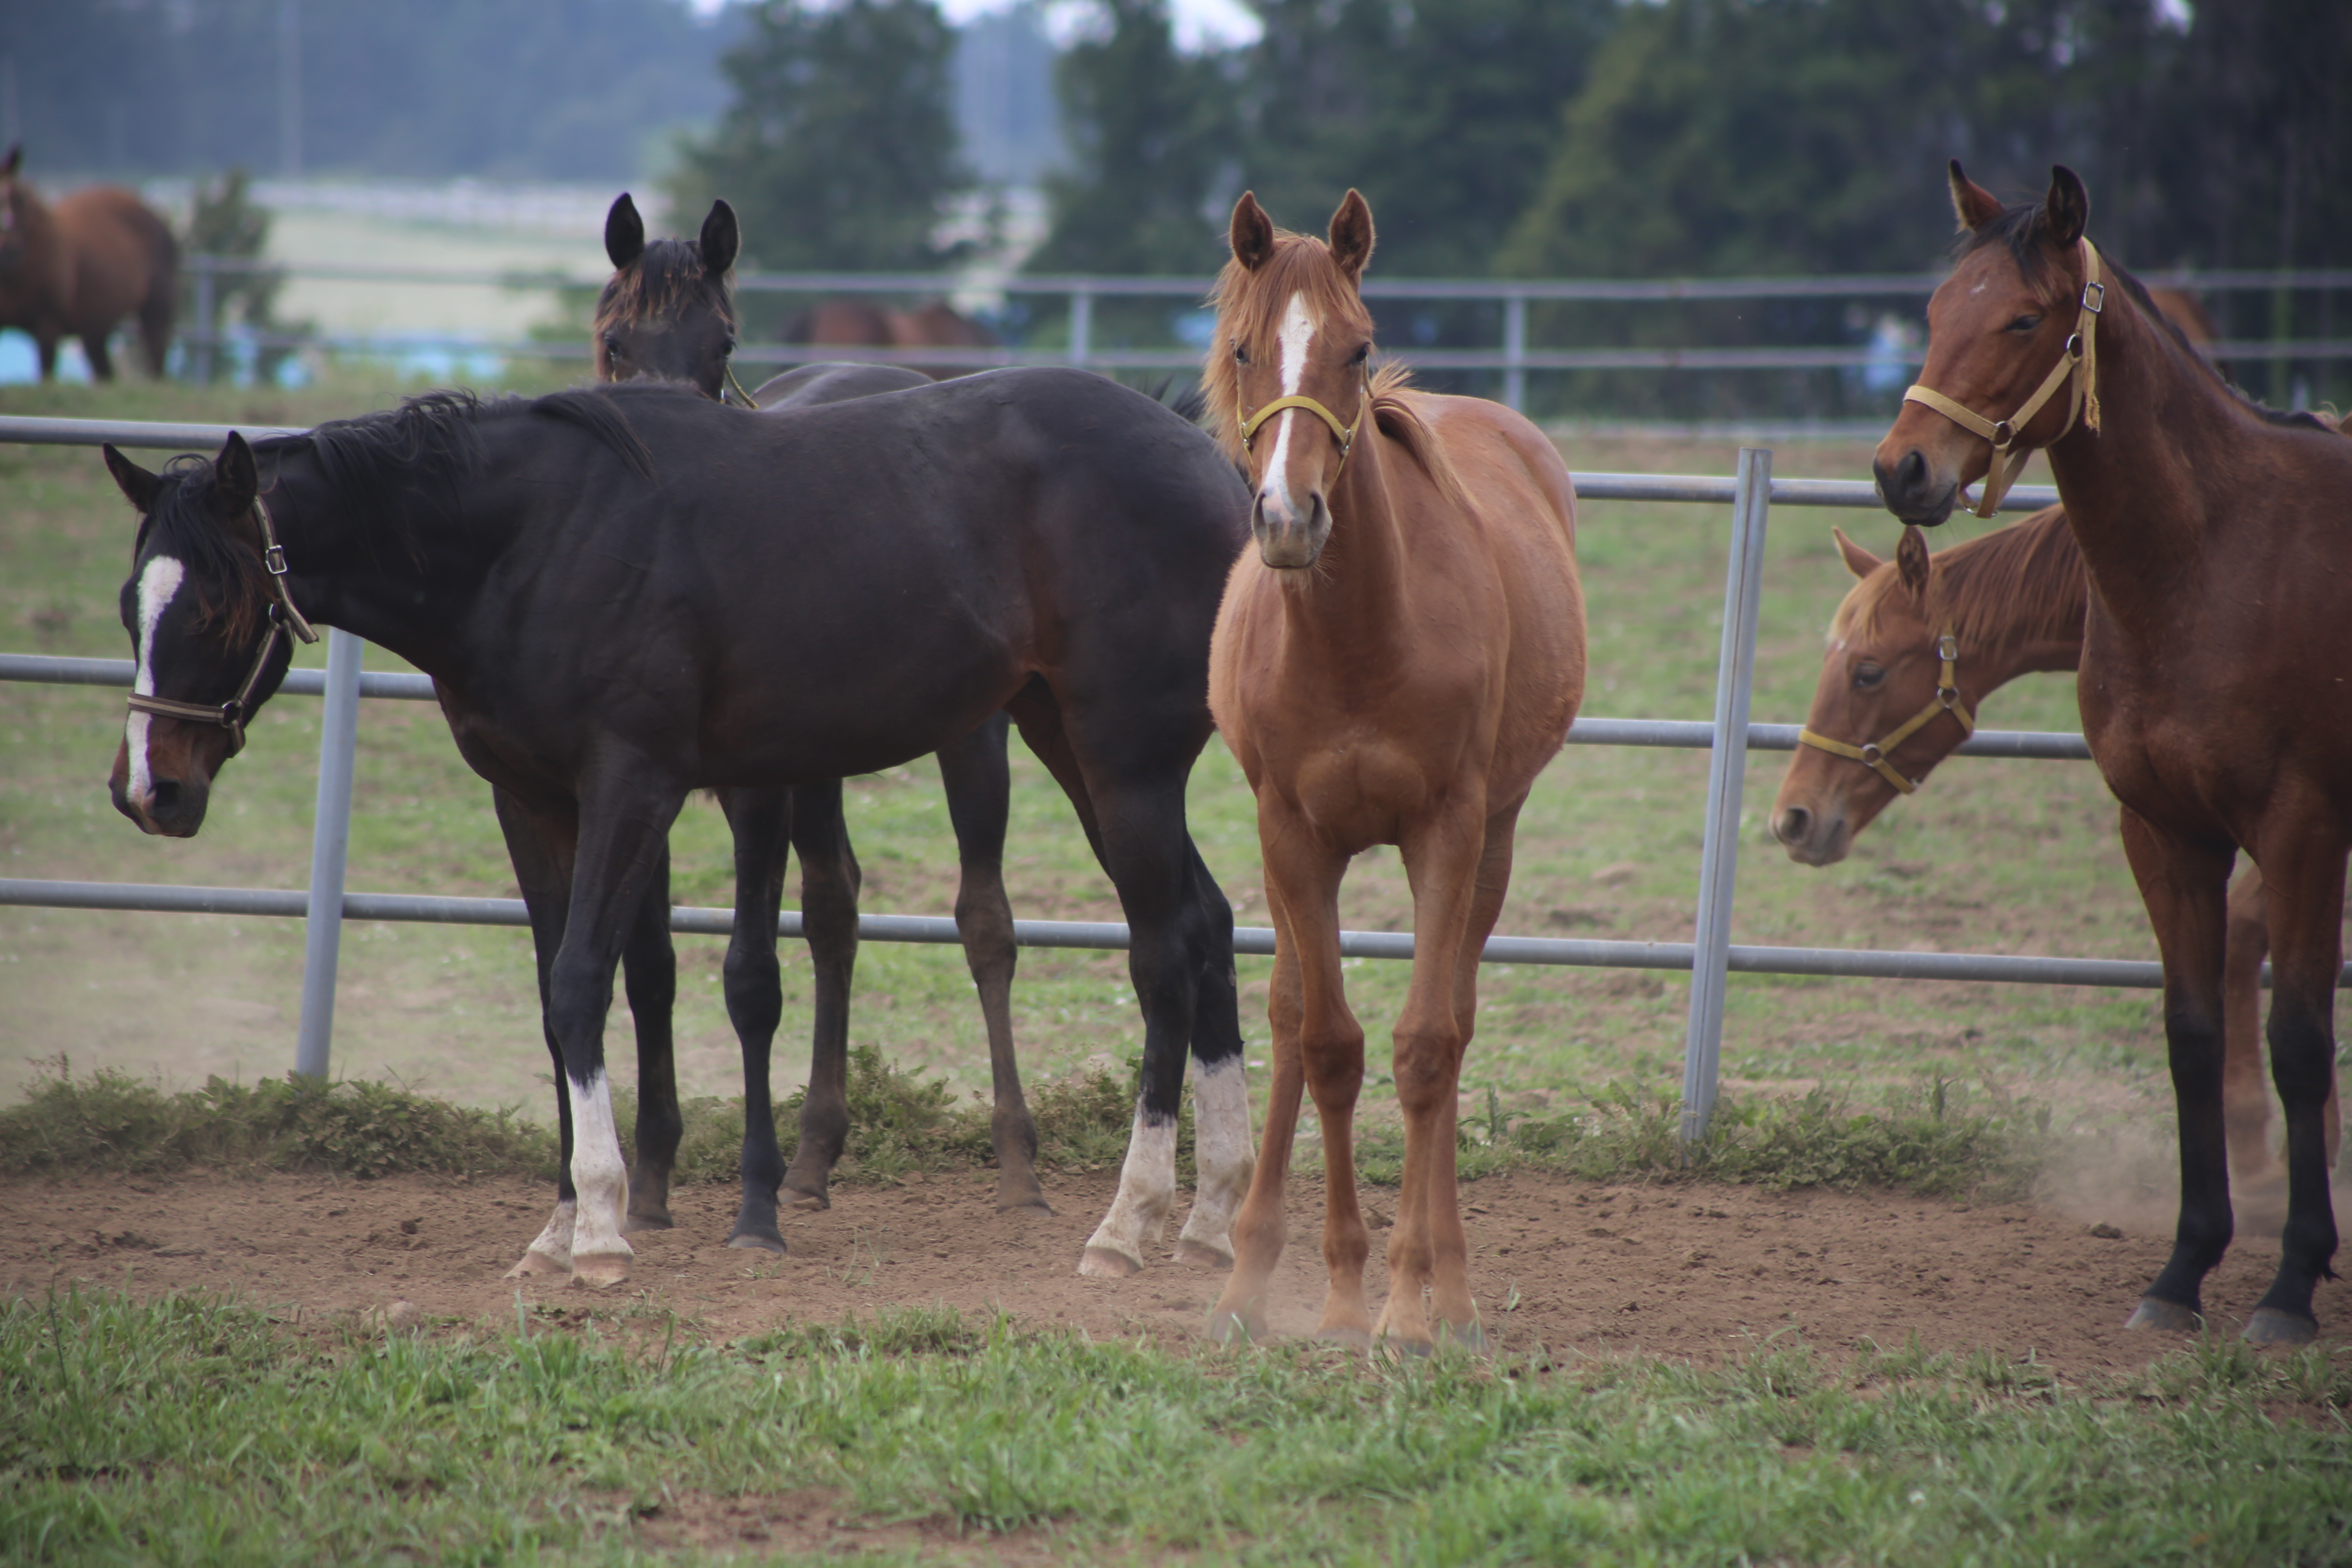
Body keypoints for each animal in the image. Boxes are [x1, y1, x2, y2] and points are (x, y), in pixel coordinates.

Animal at [0, 145, 175, 381]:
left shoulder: (48, 325)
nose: (10, 248)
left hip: (155, 313)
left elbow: (46, 374)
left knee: (157, 360)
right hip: (96, 327)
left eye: (19, 199)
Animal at [106, 376, 1251, 1288]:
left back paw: (1127, 1223)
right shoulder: (530, 801)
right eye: (131, 605)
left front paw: (604, 1229)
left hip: (1123, 760)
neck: (531, 541)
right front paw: (558, 1229)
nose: (150, 790)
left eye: (214, 606)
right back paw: (1212, 1214)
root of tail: (1213, 463)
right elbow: (552, 997)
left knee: (1160, 953)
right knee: (1206, 924)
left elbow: (582, 982)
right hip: (1070, 743)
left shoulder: (632, 782)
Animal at [1204, 193, 1590, 1354]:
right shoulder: (1291, 833)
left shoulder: (1447, 828)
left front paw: (1413, 1304)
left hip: (1493, 839)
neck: (1358, 638)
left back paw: (1447, 1292)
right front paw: (1335, 1293)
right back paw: (1254, 1278)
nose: (1289, 519)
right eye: (1245, 348)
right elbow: (1326, 1043)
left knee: (1453, 1027)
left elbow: (1423, 1048)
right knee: (1292, 1018)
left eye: (1358, 348)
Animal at [1872, 160, 2352, 1354]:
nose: (1901, 468)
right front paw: (2183, 1270)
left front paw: (2289, 1285)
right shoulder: (2162, 829)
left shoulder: (2302, 829)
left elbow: (2297, 1038)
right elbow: (2190, 1033)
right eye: (1935, 312)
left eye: (2022, 318)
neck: (2216, 559)